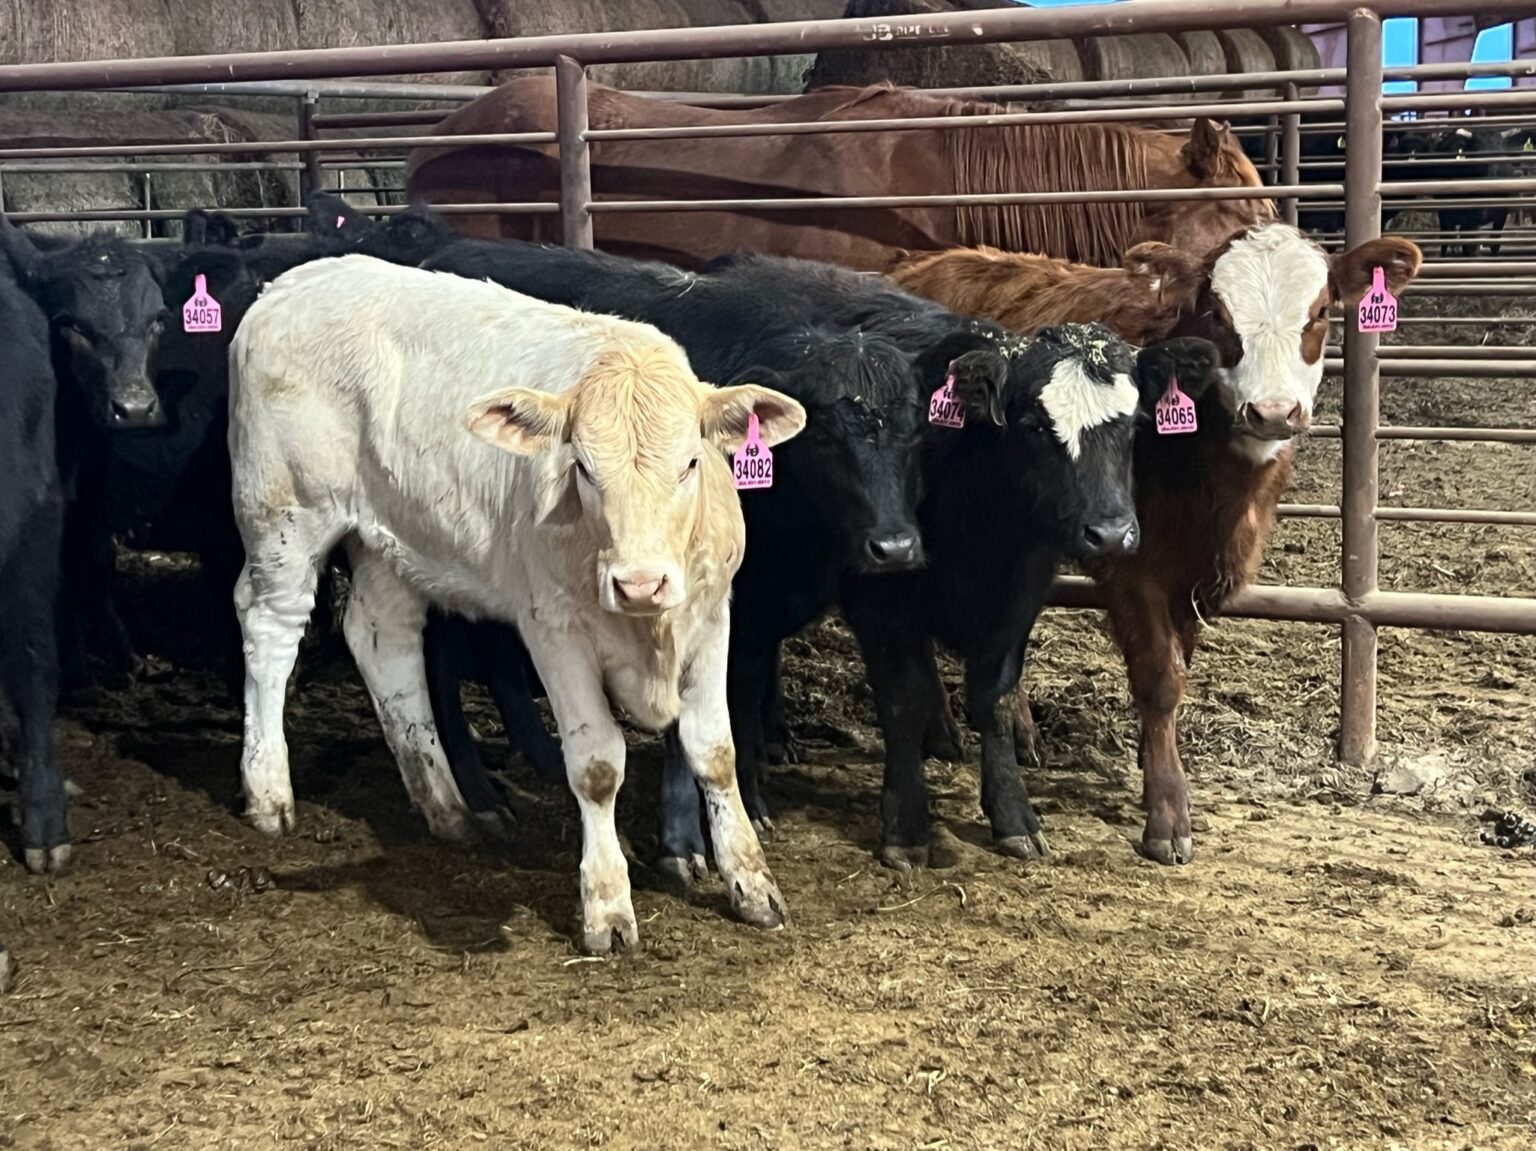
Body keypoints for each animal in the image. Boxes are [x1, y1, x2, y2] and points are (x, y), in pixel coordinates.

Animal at [227, 254, 806, 952]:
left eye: (692, 463)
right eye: (582, 468)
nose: (639, 583)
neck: (647, 631)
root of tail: (290, 283)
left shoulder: (712, 612)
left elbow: (714, 750)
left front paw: (751, 881)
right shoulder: (553, 628)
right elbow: (596, 765)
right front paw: (606, 907)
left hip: (390, 539)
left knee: (383, 640)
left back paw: (447, 804)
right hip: (285, 516)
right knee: (271, 628)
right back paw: (268, 791)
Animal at [888, 222, 1423, 863]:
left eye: (1320, 312)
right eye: (1217, 314)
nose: (1272, 412)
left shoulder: (1191, 576)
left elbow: (1175, 667)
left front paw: (1153, 766)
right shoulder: (1131, 564)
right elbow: (1159, 680)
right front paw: (1168, 812)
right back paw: (944, 728)